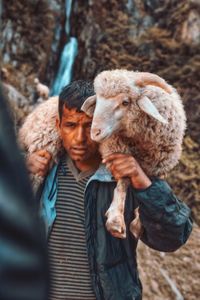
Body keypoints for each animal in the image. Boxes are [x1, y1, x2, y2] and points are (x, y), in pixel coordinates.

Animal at [81, 69, 186, 239]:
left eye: (125, 102)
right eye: (97, 100)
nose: (95, 132)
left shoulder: (160, 162)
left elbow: (151, 184)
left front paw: (138, 223)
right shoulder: (117, 150)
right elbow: (124, 181)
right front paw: (116, 220)